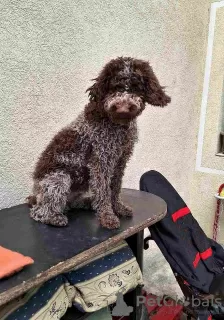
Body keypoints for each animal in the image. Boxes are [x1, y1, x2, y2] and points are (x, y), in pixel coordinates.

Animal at [27, 56, 172, 229]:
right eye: (114, 86)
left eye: (136, 87)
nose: (123, 108)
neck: (117, 124)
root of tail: (35, 194)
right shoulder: (101, 160)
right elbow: (103, 190)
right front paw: (107, 216)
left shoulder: (120, 160)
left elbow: (114, 187)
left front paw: (118, 208)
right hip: (59, 178)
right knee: (38, 212)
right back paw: (54, 217)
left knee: (70, 204)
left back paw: (86, 203)